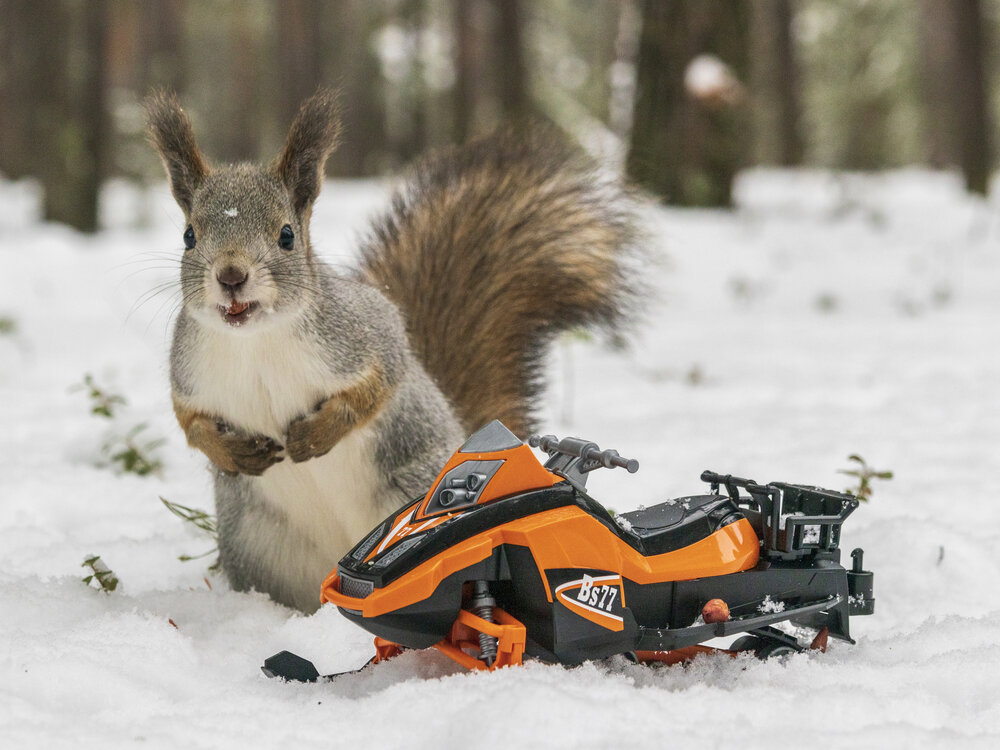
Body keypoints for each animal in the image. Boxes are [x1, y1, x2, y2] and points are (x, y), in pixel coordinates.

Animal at [145, 89, 640, 613]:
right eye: (189, 236)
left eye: (286, 236)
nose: (231, 276)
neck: (255, 341)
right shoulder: (189, 376)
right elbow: (191, 423)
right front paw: (232, 451)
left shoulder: (367, 336)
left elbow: (377, 387)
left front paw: (312, 438)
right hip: (259, 545)